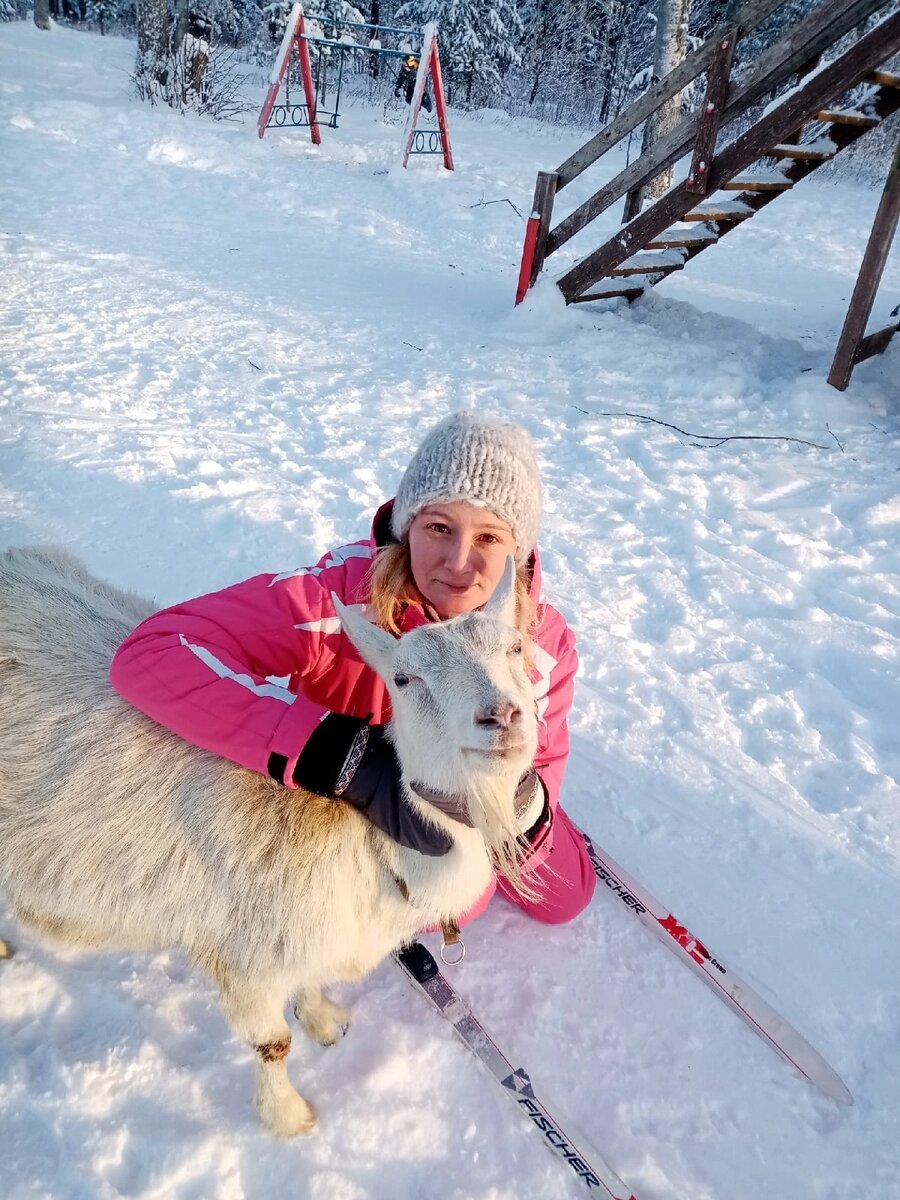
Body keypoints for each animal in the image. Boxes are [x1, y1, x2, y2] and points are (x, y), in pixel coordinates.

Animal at [0, 544, 535, 1132]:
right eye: (402, 679)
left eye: (515, 646)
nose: (499, 716)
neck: (370, 845)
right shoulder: (246, 958)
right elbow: (272, 1044)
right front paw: (288, 1118)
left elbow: (310, 985)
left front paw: (324, 1020)